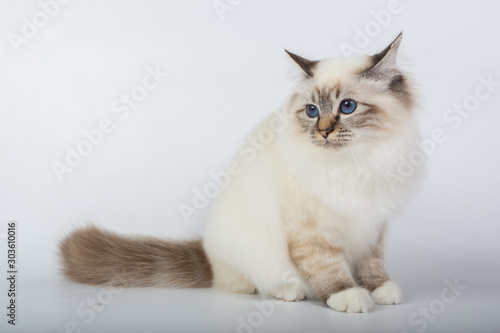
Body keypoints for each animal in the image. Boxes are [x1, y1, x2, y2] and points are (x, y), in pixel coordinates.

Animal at [58, 32, 420, 312]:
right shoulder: (312, 230)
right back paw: (289, 291)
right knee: (252, 282)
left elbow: (372, 264)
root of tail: (209, 257)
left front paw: (380, 290)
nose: (324, 132)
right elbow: (328, 266)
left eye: (347, 107)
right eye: (312, 111)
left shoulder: (373, 225)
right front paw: (349, 296)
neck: (355, 163)